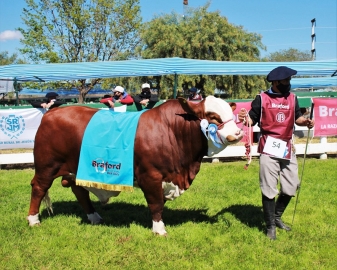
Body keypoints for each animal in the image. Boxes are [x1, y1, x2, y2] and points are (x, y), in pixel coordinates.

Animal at [26, 96, 242, 234]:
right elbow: (156, 204)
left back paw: (94, 217)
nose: (237, 134)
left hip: (77, 169)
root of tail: (51, 113)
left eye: (230, 113)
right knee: (38, 188)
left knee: (80, 191)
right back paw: (33, 220)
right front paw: (159, 230)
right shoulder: (151, 176)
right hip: (47, 167)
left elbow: (160, 203)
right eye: (212, 116)